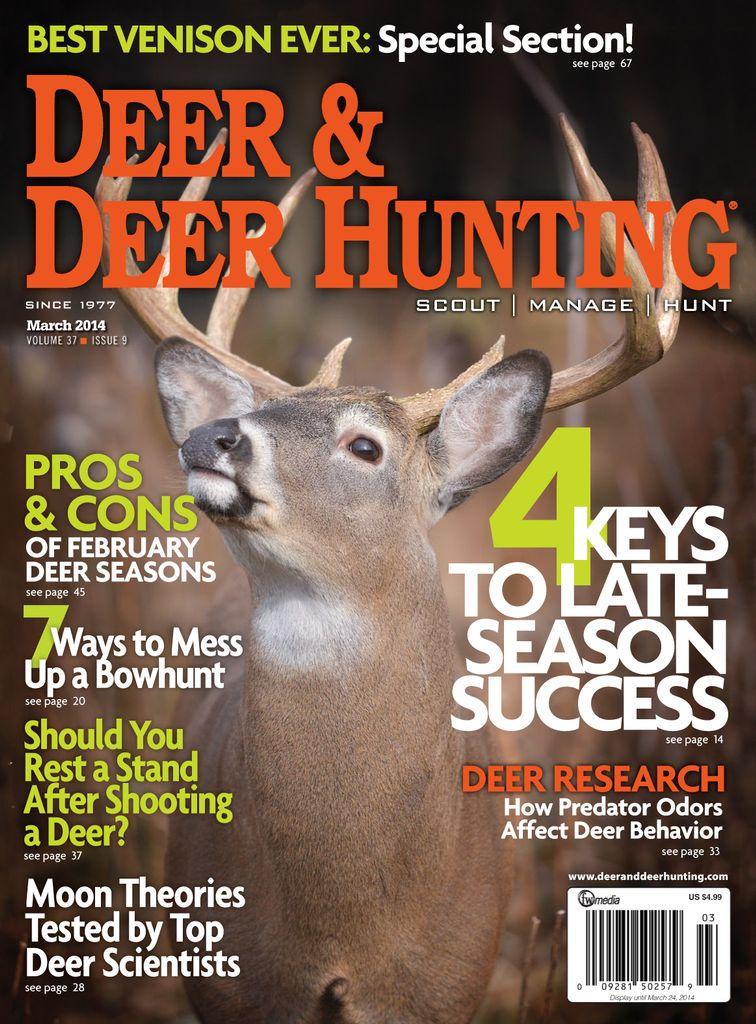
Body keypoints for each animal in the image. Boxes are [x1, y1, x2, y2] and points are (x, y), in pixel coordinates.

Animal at [95, 115, 680, 1023]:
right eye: (263, 410)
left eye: (365, 447)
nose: (212, 436)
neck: (345, 914)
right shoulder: (233, 980)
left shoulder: (447, 977)